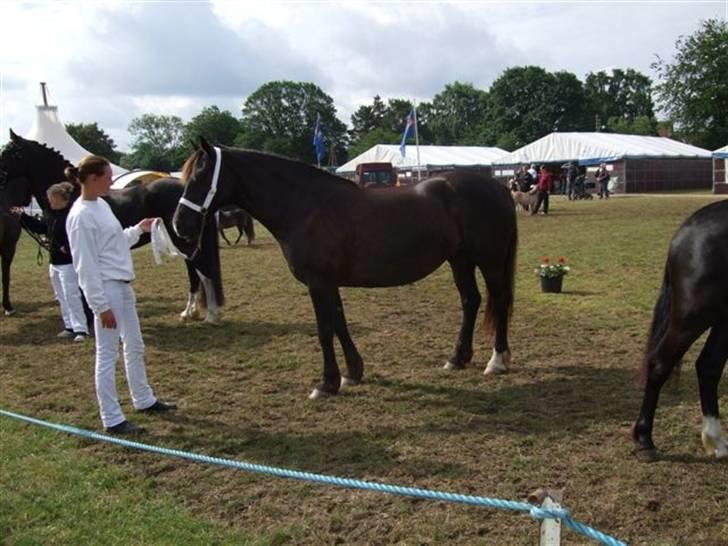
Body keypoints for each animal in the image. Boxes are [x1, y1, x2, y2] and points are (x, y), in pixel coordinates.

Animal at [0, 132, 225, 324]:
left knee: (202, 270)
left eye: (9, 153)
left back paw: (210, 314)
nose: (0, 180)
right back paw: (189, 312)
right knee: (194, 272)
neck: (73, 193)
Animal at [174, 138, 520, 398]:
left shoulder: (318, 282)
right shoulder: (328, 283)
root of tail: (497, 186)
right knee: (470, 300)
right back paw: (456, 359)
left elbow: (325, 330)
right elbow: (339, 323)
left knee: (499, 299)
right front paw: (352, 373)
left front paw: (326, 384)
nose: (180, 225)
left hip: (489, 261)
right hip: (459, 259)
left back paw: (497, 360)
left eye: (199, 177)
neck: (307, 207)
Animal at [632, 197, 728, 460]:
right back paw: (645, 440)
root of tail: (686, 230)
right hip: (692, 317)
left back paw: (716, 440)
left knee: (709, 366)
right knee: (660, 364)